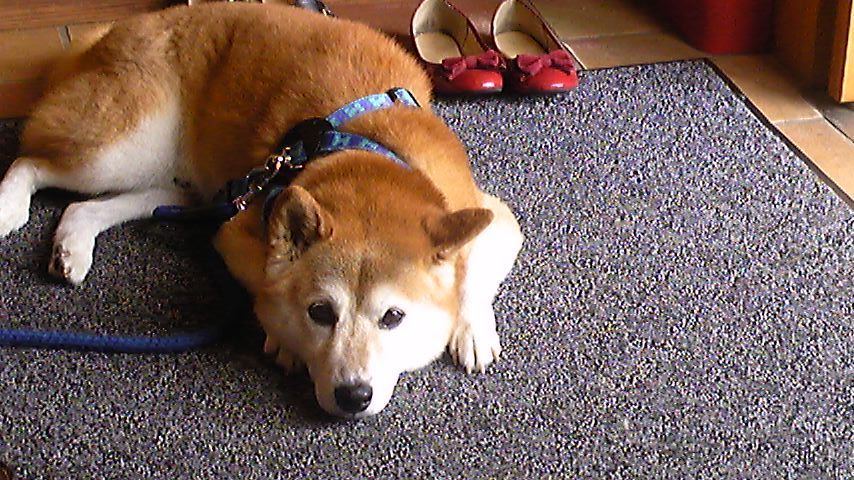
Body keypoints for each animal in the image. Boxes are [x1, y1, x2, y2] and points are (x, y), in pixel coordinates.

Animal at [0, 3, 523, 417]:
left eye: (393, 317)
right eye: (320, 312)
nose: (353, 396)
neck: (368, 159)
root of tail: (118, 29)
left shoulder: (492, 217)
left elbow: (471, 267)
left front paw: (471, 327)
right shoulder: (234, 228)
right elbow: (263, 282)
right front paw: (283, 339)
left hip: (176, 188)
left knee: (81, 207)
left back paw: (71, 247)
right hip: (124, 150)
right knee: (31, 160)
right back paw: (9, 208)